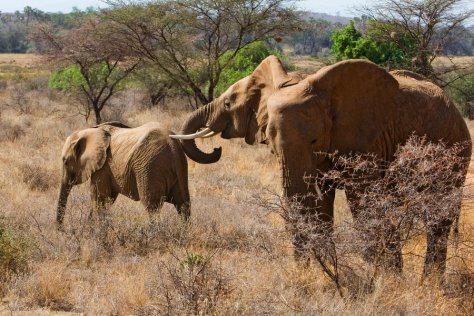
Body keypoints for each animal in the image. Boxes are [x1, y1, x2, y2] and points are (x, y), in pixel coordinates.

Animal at [56, 121, 193, 230]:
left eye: (65, 162)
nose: (61, 230)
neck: (89, 131)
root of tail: (173, 146)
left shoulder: (102, 167)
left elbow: (99, 199)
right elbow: (107, 200)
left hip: (149, 168)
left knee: (152, 208)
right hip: (178, 169)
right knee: (183, 205)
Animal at [172, 55, 472, 276]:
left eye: (227, 103)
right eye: (270, 140)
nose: (217, 149)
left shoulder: (366, 139)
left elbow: (363, 203)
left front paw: (380, 277)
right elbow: (321, 204)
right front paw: (328, 273)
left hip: (456, 149)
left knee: (439, 217)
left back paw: (429, 282)